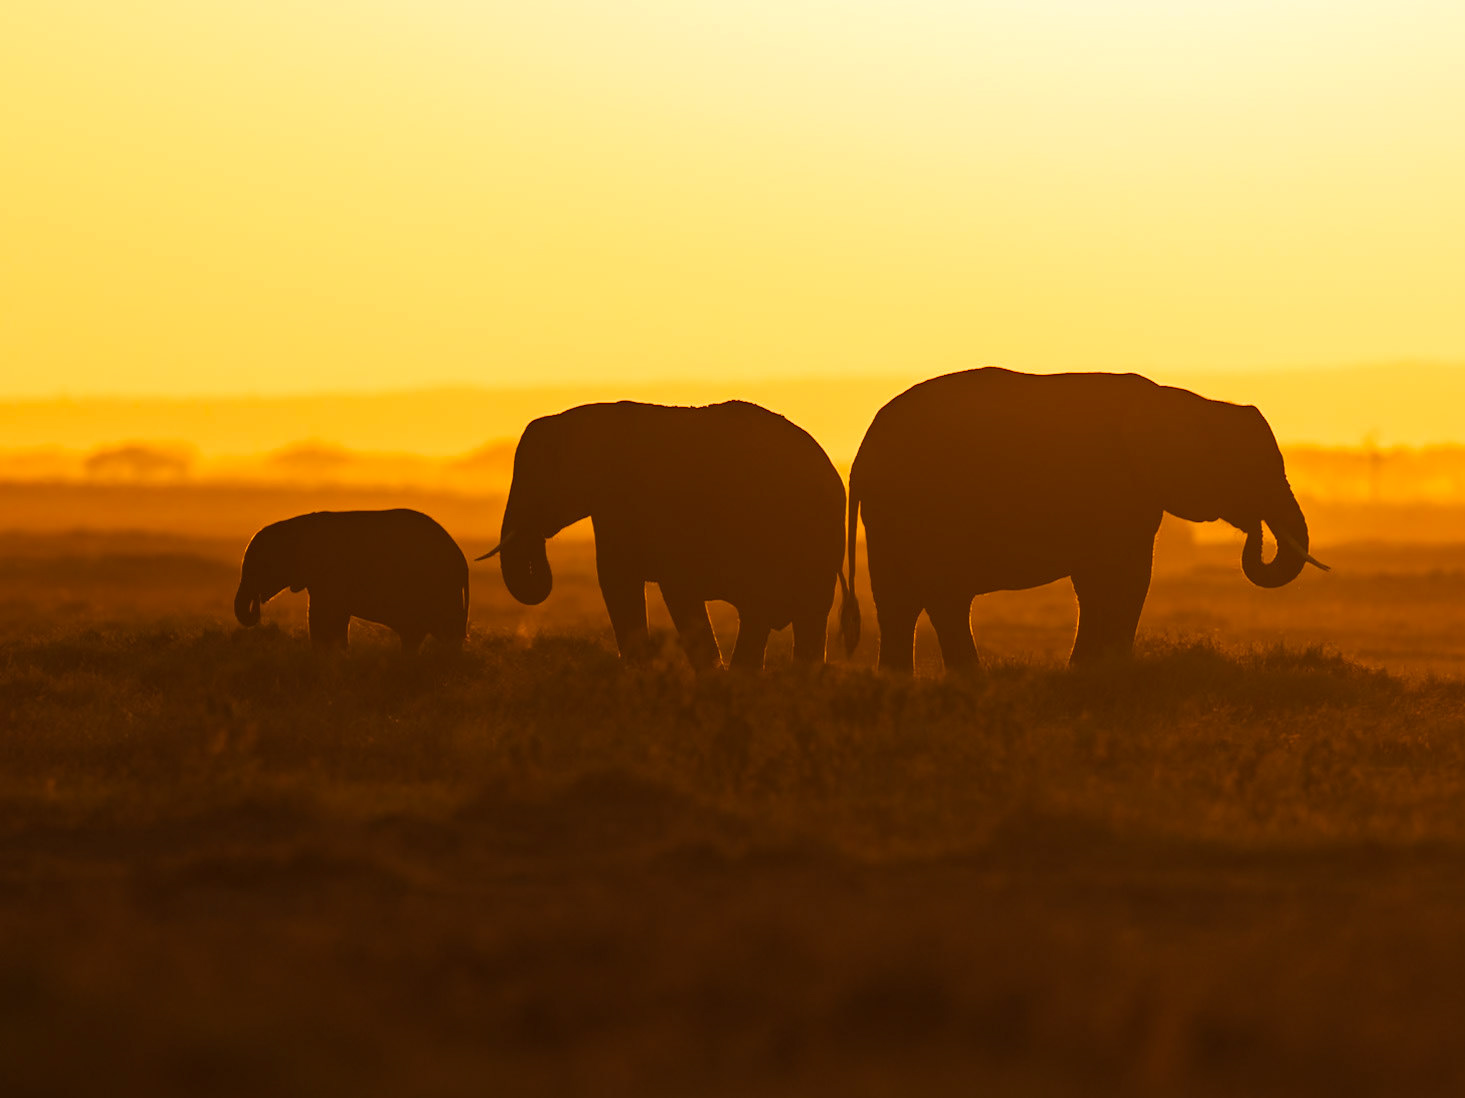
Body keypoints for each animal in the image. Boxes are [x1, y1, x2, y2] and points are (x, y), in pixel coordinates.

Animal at [234, 509, 468, 652]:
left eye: (261, 568)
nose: (257, 602)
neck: (296, 526)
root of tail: (462, 561)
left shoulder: (329, 574)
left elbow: (324, 616)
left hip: (441, 589)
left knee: (446, 633)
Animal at [478, 400, 848, 670]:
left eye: (535, 481)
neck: (586, 419)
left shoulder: (628, 502)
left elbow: (634, 582)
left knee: (760, 610)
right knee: (806, 617)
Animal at [839, 368, 1329, 672]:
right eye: (1255, 470)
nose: (1255, 528)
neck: (1190, 402)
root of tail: (860, 456)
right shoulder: (1117, 490)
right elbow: (1123, 577)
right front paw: (1101, 669)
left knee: (907, 600)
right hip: (914, 508)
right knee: (933, 595)